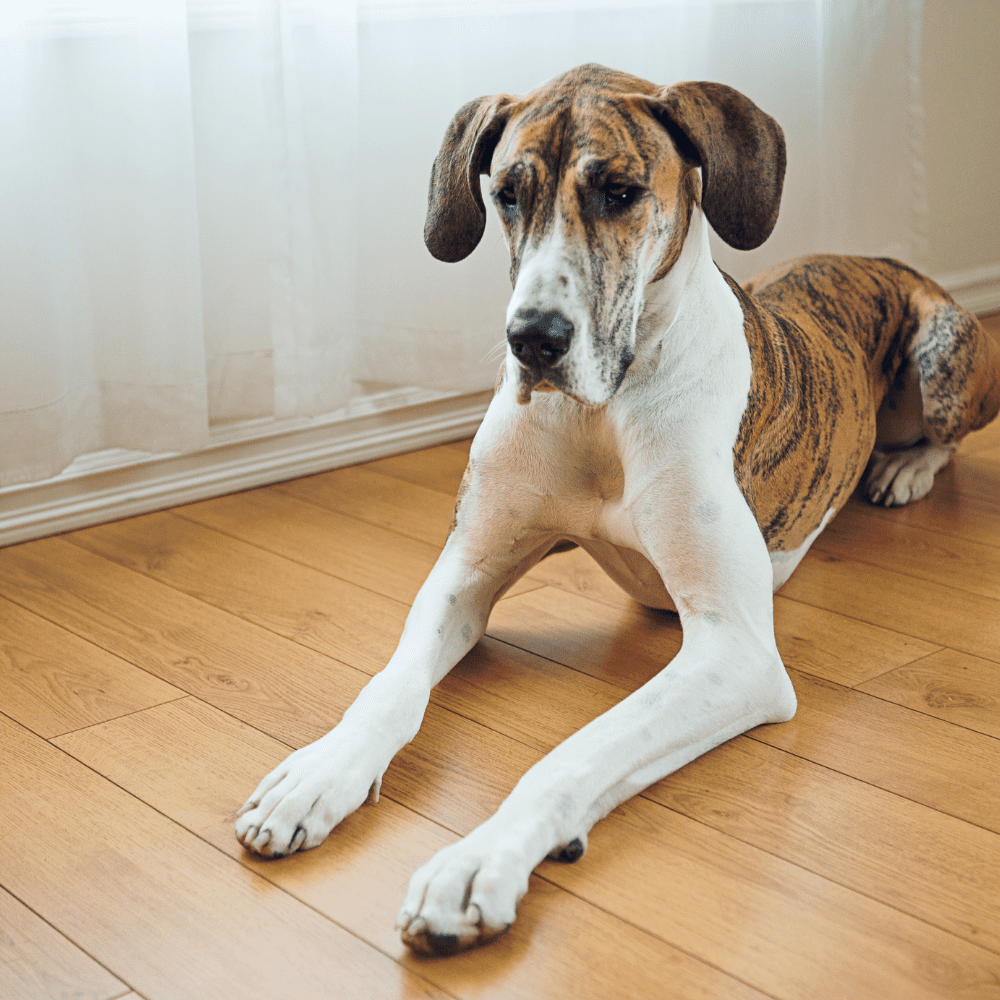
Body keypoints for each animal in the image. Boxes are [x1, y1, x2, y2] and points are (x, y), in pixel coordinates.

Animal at [236, 62, 1000, 952]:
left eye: (622, 192)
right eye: (506, 194)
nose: (533, 339)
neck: (604, 407)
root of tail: (881, 257)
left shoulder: (734, 651)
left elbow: (574, 751)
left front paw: (477, 861)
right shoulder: (464, 574)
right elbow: (389, 685)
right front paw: (320, 773)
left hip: (943, 351)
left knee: (947, 433)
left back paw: (903, 467)